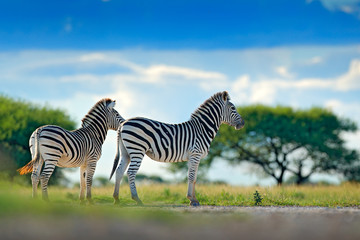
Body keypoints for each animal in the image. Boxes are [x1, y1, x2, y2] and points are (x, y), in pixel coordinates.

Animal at [109, 91, 245, 205]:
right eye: (233, 108)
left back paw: (116, 199)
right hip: (137, 149)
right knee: (131, 172)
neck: (202, 128)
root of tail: (122, 124)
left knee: (119, 171)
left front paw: (193, 199)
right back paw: (137, 199)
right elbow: (192, 177)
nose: (243, 124)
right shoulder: (195, 154)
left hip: (126, 152)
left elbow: (193, 178)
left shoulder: (193, 157)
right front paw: (192, 200)